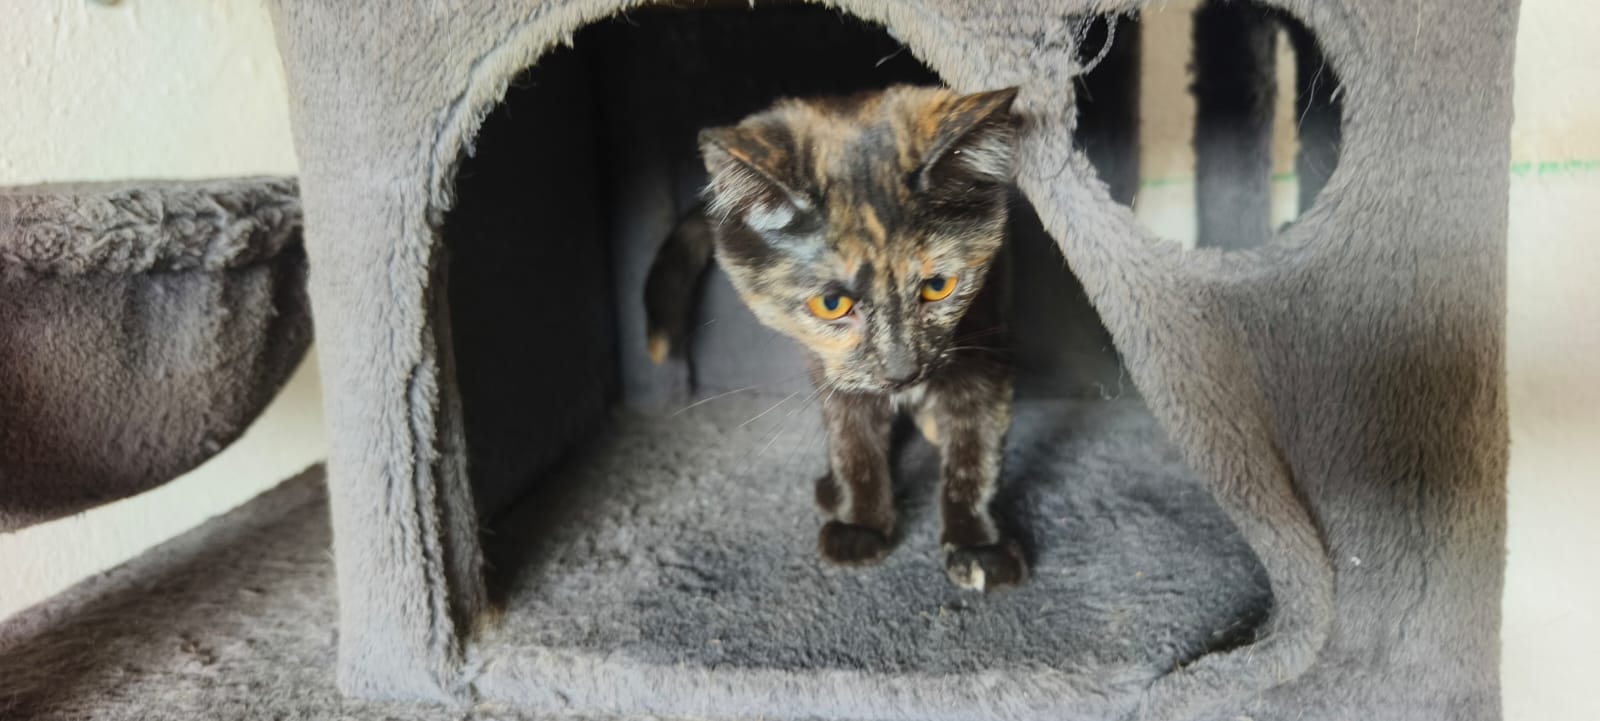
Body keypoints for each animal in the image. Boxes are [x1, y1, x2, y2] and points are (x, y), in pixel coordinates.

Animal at [645, 85, 1026, 591]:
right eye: (831, 304)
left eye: (938, 286)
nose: (903, 370)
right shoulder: (834, 368)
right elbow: (852, 439)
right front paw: (861, 523)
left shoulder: (985, 346)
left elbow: (975, 448)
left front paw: (979, 545)